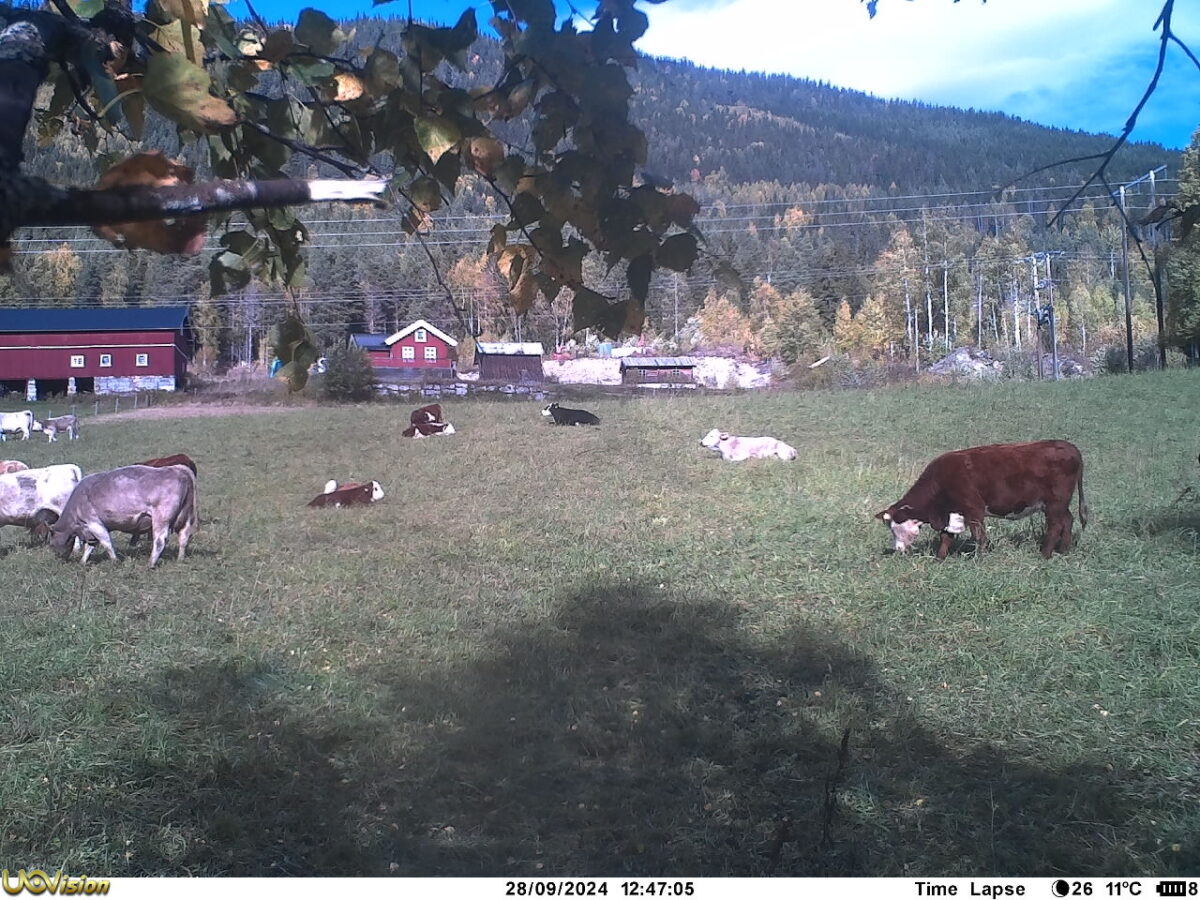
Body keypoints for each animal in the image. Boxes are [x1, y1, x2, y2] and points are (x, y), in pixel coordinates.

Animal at [48, 465, 197, 567]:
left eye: (51, 543)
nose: (57, 557)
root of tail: (178, 469)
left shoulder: (95, 523)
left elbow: (106, 543)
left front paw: (115, 561)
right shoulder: (91, 530)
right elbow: (90, 546)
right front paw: (83, 562)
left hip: (161, 518)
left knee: (160, 540)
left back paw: (151, 563)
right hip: (186, 517)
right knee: (184, 536)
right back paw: (180, 559)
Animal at [875, 440, 1087, 560]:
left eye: (895, 528)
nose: (897, 549)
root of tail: (1071, 447)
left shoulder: (974, 509)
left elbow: (979, 536)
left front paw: (980, 558)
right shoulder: (952, 513)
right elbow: (946, 537)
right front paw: (940, 559)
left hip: (1055, 502)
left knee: (1055, 525)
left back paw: (1045, 555)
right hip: (1060, 504)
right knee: (1068, 520)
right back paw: (1064, 550)